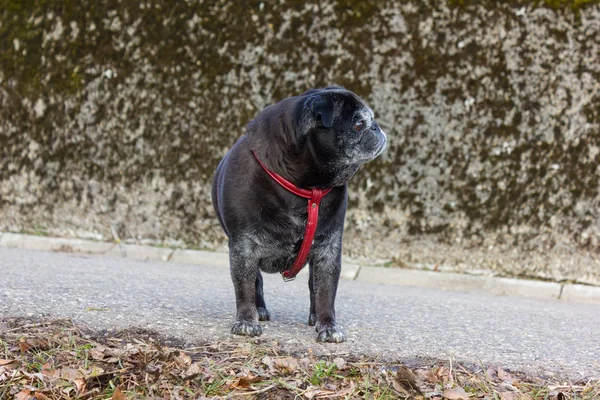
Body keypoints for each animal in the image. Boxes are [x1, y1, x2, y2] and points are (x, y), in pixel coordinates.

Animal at [211, 86, 386, 342]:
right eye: (358, 125)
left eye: (370, 120)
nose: (377, 127)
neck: (305, 187)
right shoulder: (243, 247)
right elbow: (244, 287)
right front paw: (245, 321)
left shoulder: (328, 250)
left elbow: (325, 292)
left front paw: (327, 325)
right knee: (256, 282)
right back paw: (258, 310)